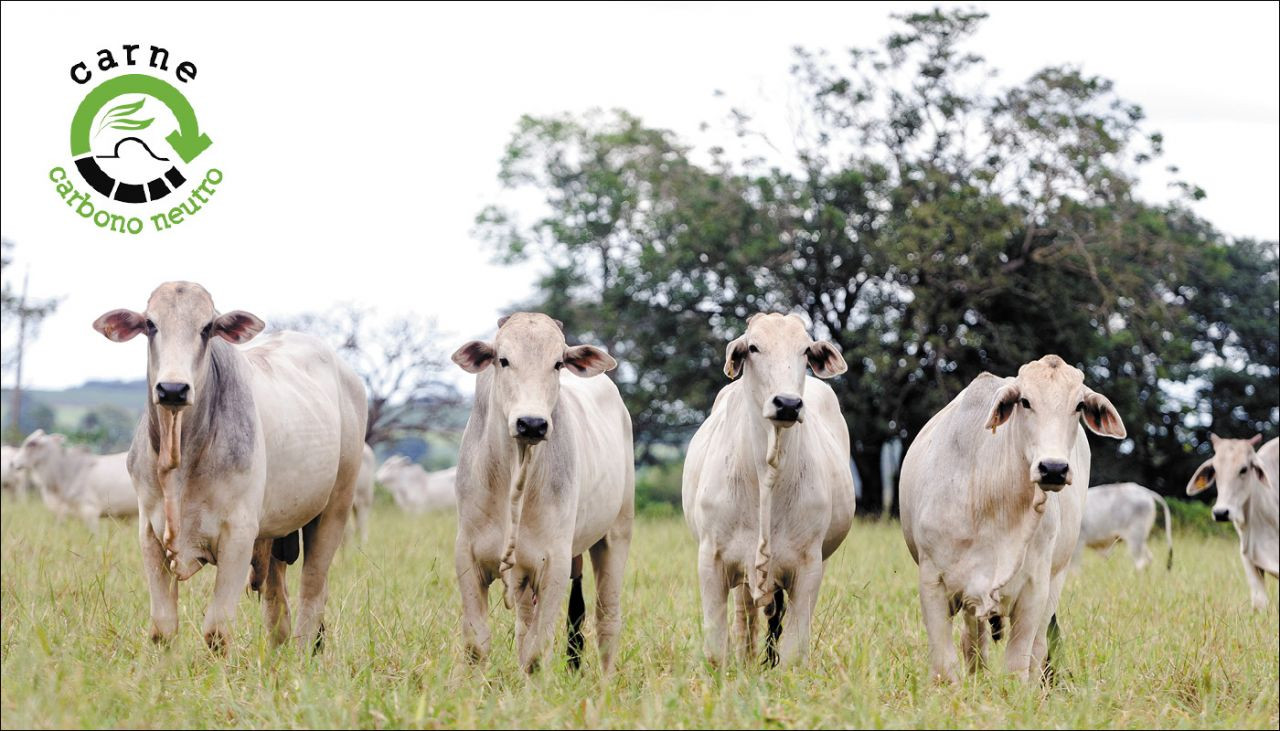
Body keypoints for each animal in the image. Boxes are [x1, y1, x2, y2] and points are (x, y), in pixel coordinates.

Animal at [93, 281, 366, 652]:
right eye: (150, 324)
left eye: (207, 328)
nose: (173, 389)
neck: (181, 459)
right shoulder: (149, 533)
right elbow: (163, 629)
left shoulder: (238, 535)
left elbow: (217, 632)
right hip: (276, 530)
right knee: (277, 599)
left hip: (334, 508)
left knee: (312, 590)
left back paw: (302, 652)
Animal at [450, 314, 634, 675]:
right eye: (503, 360)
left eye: (558, 363)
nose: (532, 424)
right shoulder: (468, 555)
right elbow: (477, 645)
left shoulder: (555, 564)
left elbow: (536, 654)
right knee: (525, 624)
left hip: (615, 535)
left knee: (607, 619)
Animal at [686, 314, 855, 670]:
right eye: (753, 347)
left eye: (805, 350)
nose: (788, 403)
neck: (767, 473)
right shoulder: (712, 560)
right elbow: (715, 650)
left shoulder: (808, 566)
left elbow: (793, 650)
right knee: (746, 615)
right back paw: (748, 658)